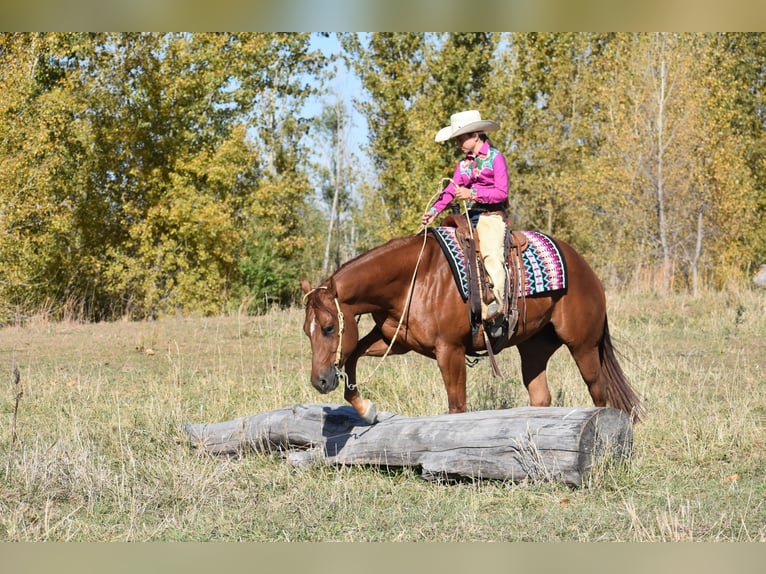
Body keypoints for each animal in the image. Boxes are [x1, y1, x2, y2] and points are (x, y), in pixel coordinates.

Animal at [300, 231, 640, 428]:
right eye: (307, 330)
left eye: (328, 328)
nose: (320, 381)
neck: (415, 278)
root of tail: (587, 271)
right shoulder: (392, 341)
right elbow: (353, 357)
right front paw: (367, 410)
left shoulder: (450, 350)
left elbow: (457, 406)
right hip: (534, 348)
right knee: (540, 396)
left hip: (583, 345)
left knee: (598, 391)